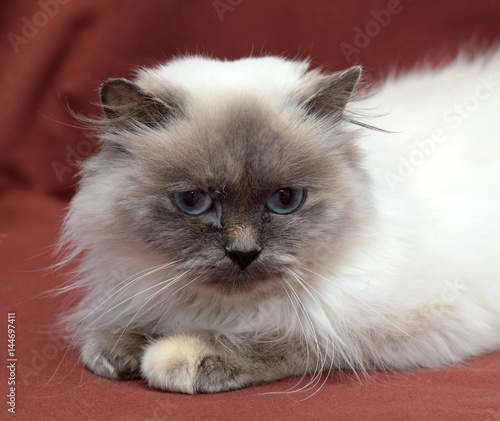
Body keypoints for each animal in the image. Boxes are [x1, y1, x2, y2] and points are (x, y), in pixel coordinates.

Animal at [58, 50, 500, 392]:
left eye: (285, 200)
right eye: (194, 202)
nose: (243, 253)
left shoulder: (405, 322)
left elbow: (278, 335)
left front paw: (176, 355)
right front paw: (120, 346)